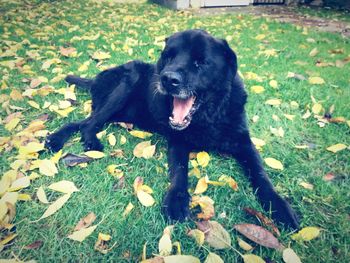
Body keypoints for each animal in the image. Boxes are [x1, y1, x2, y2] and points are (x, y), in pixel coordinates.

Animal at [45, 29, 300, 229]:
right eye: (168, 57)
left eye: (200, 62)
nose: (168, 79)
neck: (209, 116)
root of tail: (97, 77)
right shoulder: (178, 142)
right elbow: (179, 171)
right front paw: (177, 201)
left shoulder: (244, 143)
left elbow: (261, 174)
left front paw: (280, 206)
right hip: (128, 81)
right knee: (88, 122)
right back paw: (81, 141)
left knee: (83, 122)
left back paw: (57, 139)